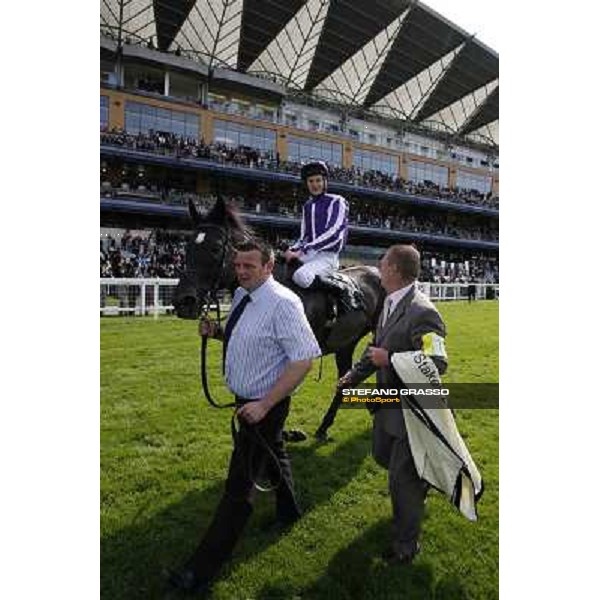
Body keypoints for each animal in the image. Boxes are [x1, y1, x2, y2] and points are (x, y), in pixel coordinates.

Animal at [172, 198, 384, 440]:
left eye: (215, 248)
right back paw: (326, 425)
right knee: (347, 378)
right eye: (187, 247)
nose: (184, 301)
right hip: (346, 343)